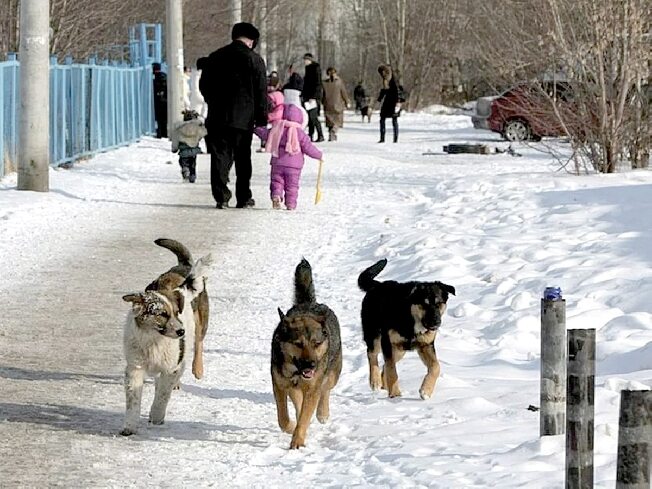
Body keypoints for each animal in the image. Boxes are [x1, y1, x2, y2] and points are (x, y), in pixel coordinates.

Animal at [121, 238, 213, 432]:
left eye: (177, 312)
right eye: (162, 314)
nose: (181, 332)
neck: (154, 340)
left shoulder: (171, 367)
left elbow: (163, 394)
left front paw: (156, 416)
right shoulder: (135, 367)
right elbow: (133, 399)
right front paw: (129, 427)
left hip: (201, 322)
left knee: (198, 344)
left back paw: (197, 369)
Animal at [272, 258, 344, 448]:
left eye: (316, 344)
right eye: (298, 344)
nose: (311, 365)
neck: (296, 371)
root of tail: (309, 303)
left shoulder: (313, 387)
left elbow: (306, 413)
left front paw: (297, 441)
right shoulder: (280, 385)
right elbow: (283, 417)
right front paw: (291, 427)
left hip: (332, 373)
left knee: (325, 389)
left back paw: (322, 413)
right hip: (294, 387)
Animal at [360, 258, 456, 398]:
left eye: (439, 304)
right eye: (424, 304)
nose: (436, 322)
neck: (411, 318)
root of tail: (377, 285)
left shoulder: (426, 345)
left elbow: (436, 366)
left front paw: (426, 390)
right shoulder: (387, 342)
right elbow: (391, 369)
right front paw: (395, 394)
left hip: (399, 350)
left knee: (384, 365)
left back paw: (384, 385)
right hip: (375, 335)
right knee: (372, 354)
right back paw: (375, 381)